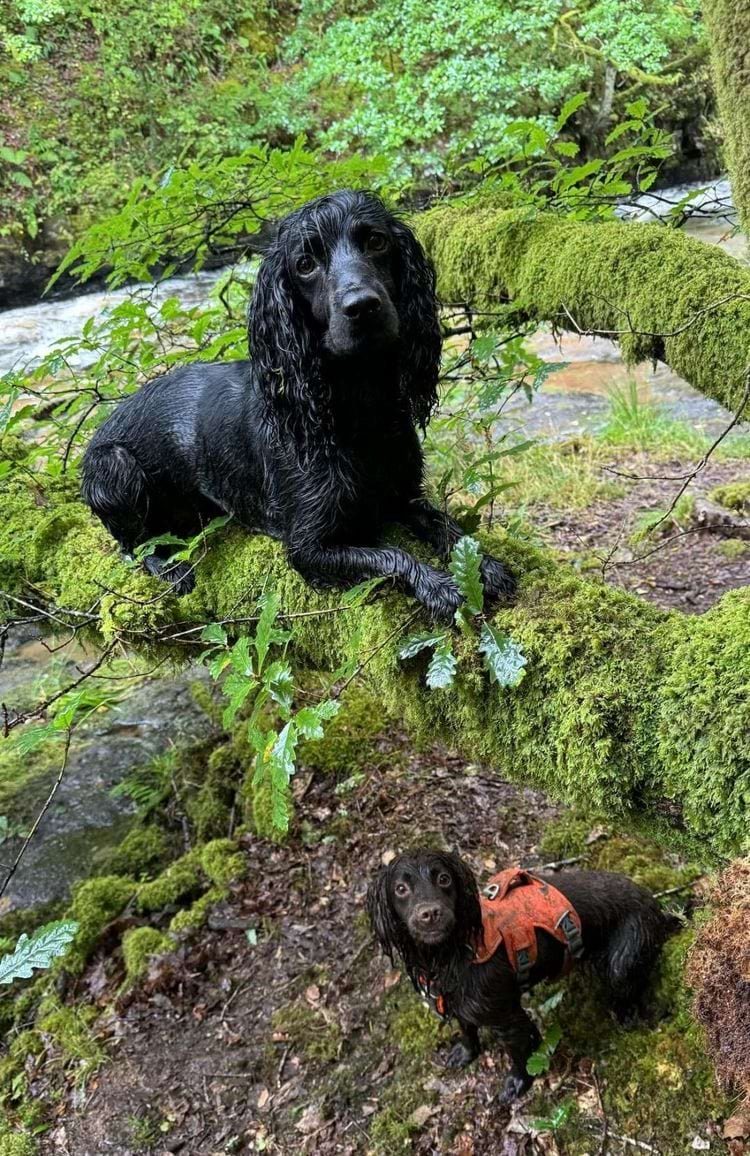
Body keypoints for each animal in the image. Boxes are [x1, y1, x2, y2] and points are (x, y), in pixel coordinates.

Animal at [82, 190, 515, 624]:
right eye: (305, 264)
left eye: (376, 241)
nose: (362, 306)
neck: (357, 407)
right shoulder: (308, 547)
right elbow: (390, 555)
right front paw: (439, 586)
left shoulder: (404, 495)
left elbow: (443, 524)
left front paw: (484, 565)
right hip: (115, 465)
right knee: (132, 547)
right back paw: (171, 568)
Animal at [365, 850, 674, 1100]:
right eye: (401, 889)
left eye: (443, 879)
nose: (430, 914)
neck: (451, 954)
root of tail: (653, 901)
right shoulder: (461, 1004)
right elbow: (467, 1029)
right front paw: (466, 1052)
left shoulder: (508, 1017)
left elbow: (519, 1053)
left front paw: (517, 1083)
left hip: (623, 960)